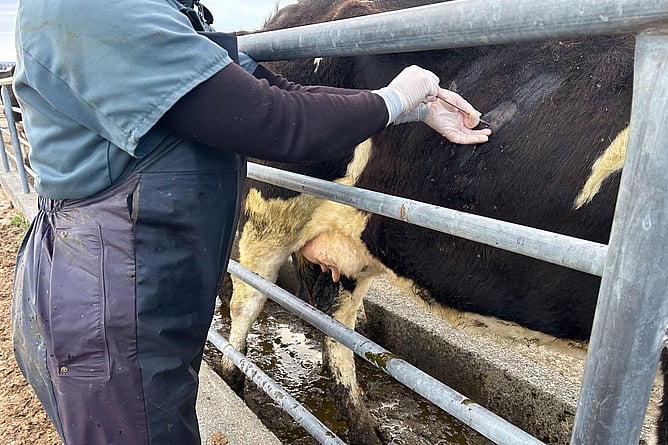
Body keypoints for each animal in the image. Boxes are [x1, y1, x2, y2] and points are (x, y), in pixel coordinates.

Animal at [217, 0, 644, 443]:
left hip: (348, 237)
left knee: (335, 321)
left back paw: (365, 428)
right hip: (271, 209)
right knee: (248, 299)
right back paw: (234, 378)